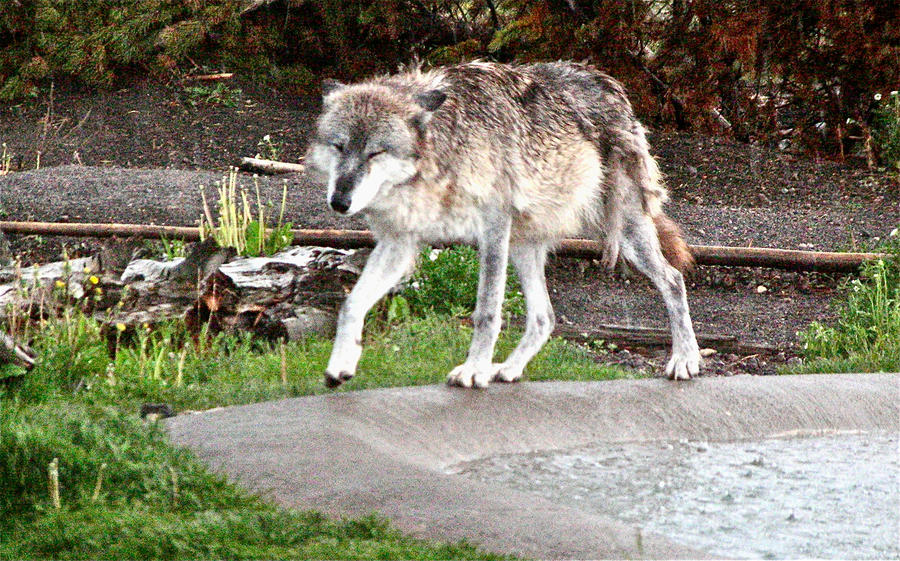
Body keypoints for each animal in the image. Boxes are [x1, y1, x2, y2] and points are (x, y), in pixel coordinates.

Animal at [310, 60, 704, 384]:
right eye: (339, 147)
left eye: (375, 153)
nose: (340, 202)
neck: (444, 150)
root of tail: (610, 84)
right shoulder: (399, 243)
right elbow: (351, 304)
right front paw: (339, 366)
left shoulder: (493, 229)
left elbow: (486, 312)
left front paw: (473, 371)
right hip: (524, 247)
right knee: (545, 317)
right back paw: (509, 369)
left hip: (625, 233)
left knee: (673, 280)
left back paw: (686, 360)